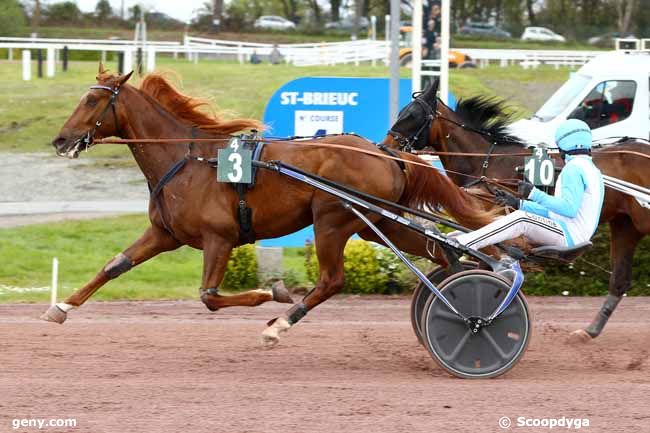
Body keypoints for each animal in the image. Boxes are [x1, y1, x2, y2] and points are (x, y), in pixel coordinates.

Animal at [43, 66, 494, 346]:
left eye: (91, 102)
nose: (61, 140)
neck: (187, 159)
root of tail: (387, 153)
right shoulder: (165, 233)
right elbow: (114, 265)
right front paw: (60, 307)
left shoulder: (219, 238)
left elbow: (209, 296)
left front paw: (269, 292)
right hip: (375, 223)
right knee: (442, 251)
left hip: (332, 220)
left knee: (332, 280)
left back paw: (279, 325)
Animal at [382, 81, 648, 342]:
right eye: (402, 112)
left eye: (412, 115)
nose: (386, 147)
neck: (486, 162)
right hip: (626, 225)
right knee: (620, 280)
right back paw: (589, 330)